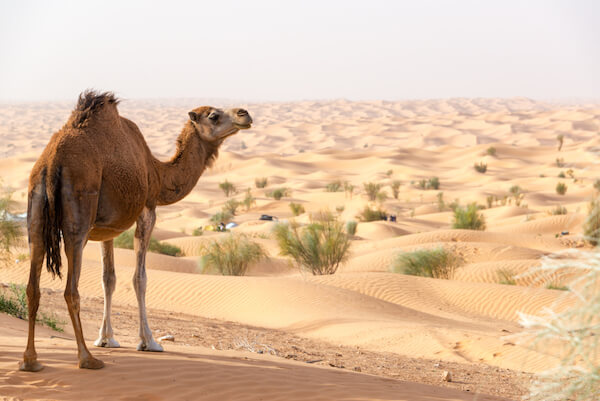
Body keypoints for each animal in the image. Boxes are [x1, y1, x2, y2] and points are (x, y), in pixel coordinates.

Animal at [19, 89, 252, 370]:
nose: (244, 114)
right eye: (214, 115)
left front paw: (107, 339)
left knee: (33, 285)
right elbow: (139, 278)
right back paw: (86, 358)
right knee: (70, 289)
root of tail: (52, 161)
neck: (158, 174)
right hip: (79, 214)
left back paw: (31, 361)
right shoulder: (147, 210)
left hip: (36, 210)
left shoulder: (105, 230)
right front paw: (148, 342)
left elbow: (108, 279)